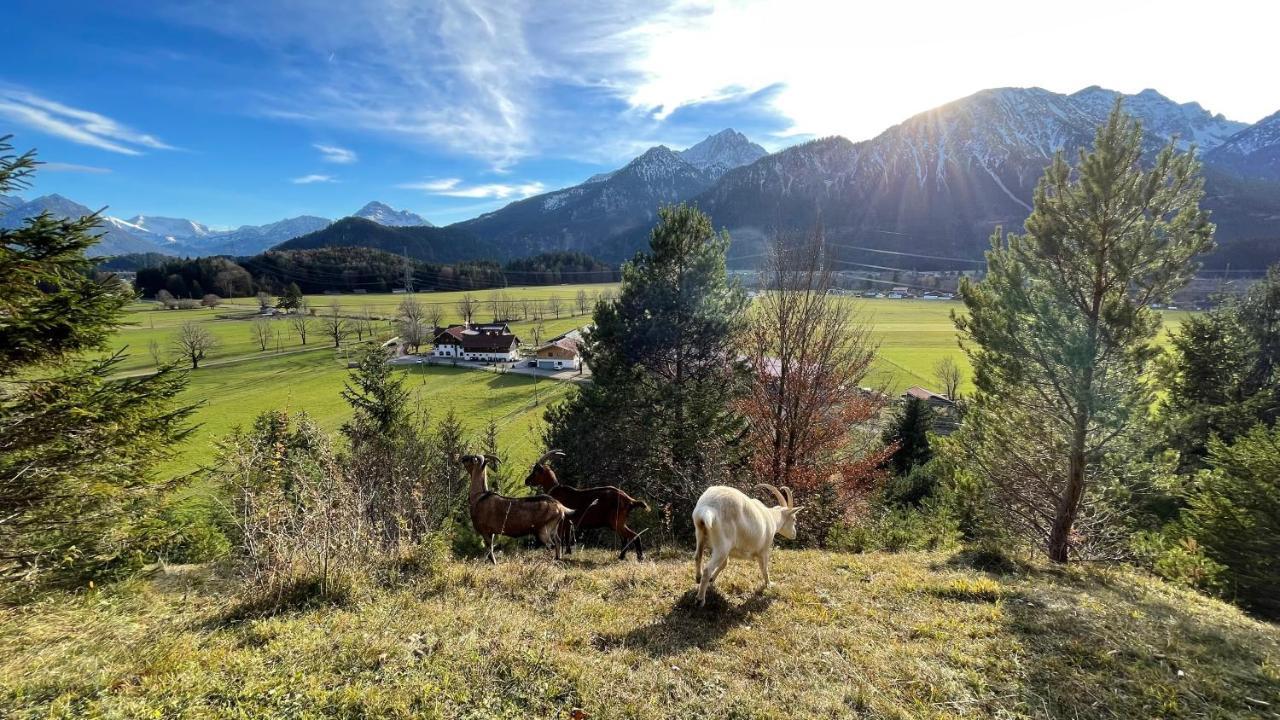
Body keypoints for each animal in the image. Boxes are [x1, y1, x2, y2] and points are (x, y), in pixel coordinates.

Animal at [522, 448, 650, 561]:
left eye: (536, 471)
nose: (526, 481)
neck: (556, 489)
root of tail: (629, 500)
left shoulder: (562, 523)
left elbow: (561, 539)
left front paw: (560, 555)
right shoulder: (569, 523)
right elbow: (567, 538)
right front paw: (568, 552)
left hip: (617, 521)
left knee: (634, 536)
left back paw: (639, 557)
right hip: (618, 522)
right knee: (625, 538)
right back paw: (622, 556)